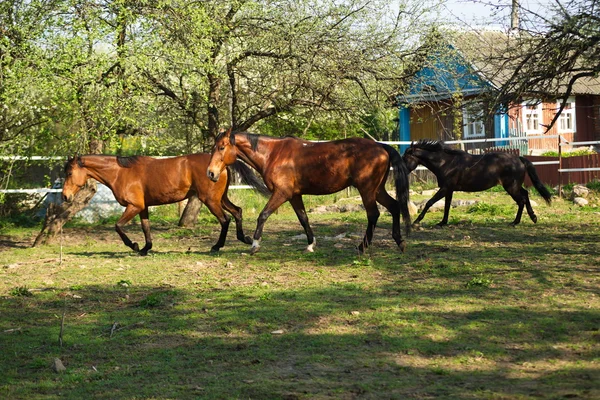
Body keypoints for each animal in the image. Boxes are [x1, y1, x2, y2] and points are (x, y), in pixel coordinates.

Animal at [62, 155, 268, 255]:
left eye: (69, 173)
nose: (65, 196)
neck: (121, 173)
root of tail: (220, 164)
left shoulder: (133, 206)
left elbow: (118, 226)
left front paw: (134, 246)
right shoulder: (143, 207)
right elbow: (146, 228)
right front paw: (145, 249)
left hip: (210, 200)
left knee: (225, 220)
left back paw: (217, 246)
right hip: (220, 198)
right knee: (237, 212)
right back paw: (245, 239)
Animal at [207, 131, 412, 256]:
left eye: (221, 147)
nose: (211, 173)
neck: (273, 154)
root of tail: (381, 146)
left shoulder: (282, 193)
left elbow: (263, 215)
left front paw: (255, 245)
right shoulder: (294, 196)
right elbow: (303, 218)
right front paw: (310, 244)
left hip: (367, 190)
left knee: (373, 215)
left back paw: (363, 247)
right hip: (377, 190)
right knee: (394, 207)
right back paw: (400, 242)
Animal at [400, 140, 552, 228]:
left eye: (405, 158)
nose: (400, 170)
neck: (445, 163)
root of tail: (519, 159)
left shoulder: (445, 188)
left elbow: (429, 202)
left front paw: (416, 222)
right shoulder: (449, 190)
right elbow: (447, 206)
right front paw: (443, 222)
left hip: (511, 187)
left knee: (521, 201)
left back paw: (516, 222)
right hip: (514, 186)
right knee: (525, 195)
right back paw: (532, 217)